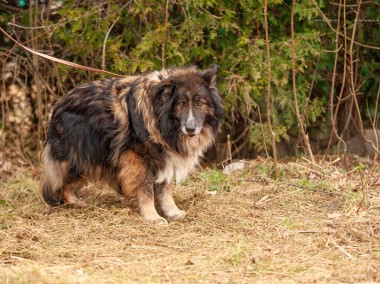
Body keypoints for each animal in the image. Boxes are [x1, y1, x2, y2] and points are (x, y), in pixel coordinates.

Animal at [42, 65, 223, 224]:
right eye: (180, 104)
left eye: (200, 103)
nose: (191, 129)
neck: (158, 113)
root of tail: (58, 104)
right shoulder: (137, 160)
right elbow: (146, 190)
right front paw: (152, 216)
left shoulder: (164, 158)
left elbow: (165, 189)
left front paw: (172, 211)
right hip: (77, 156)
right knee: (60, 181)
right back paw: (72, 202)